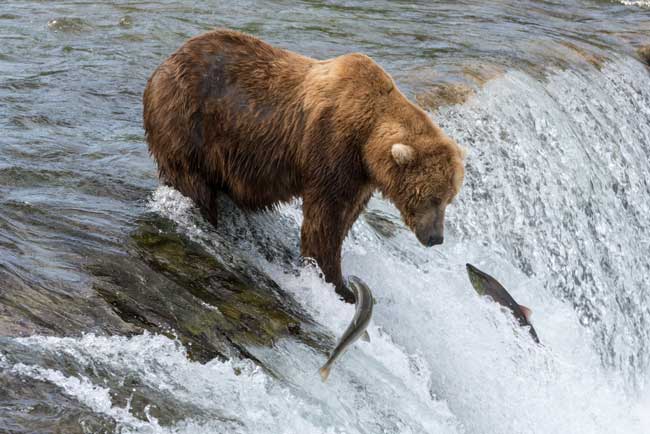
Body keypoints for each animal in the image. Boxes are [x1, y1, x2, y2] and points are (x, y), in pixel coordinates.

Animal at [144, 29, 464, 302]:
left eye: (449, 198)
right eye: (431, 197)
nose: (436, 238)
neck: (367, 137)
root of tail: (164, 63)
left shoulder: (360, 176)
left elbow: (346, 216)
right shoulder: (332, 148)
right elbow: (325, 219)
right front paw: (336, 281)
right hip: (187, 120)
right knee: (191, 181)